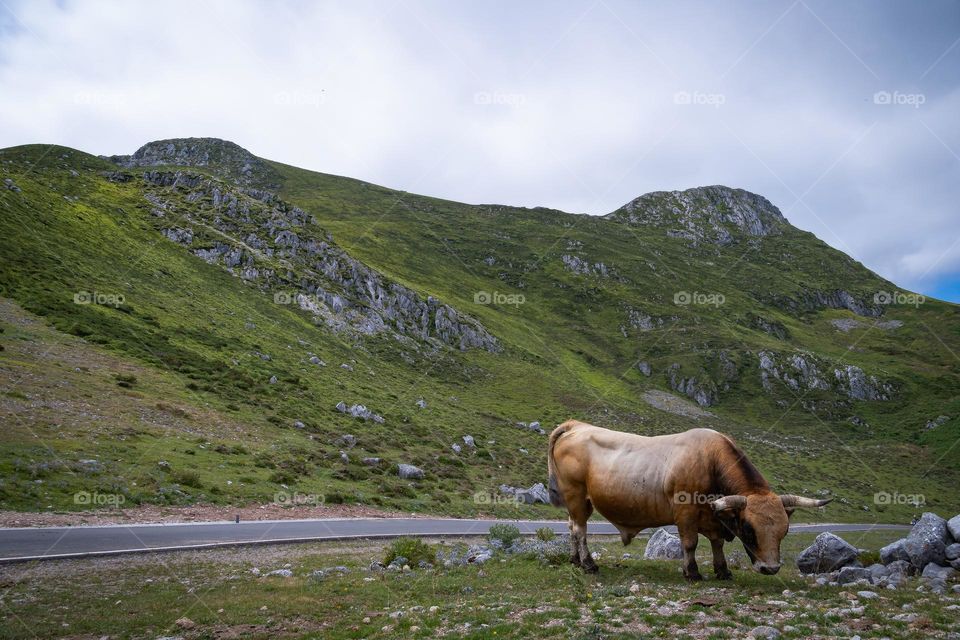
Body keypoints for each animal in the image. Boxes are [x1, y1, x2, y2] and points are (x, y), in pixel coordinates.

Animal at [547, 420, 831, 579]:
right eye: (749, 530)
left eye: (784, 531)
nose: (770, 569)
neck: (711, 460)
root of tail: (577, 426)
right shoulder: (686, 512)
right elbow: (691, 543)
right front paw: (692, 572)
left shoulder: (714, 516)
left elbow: (717, 543)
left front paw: (722, 570)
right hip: (576, 495)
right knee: (581, 530)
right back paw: (588, 564)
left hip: (578, 502)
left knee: (572, 528)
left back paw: (574, 559)